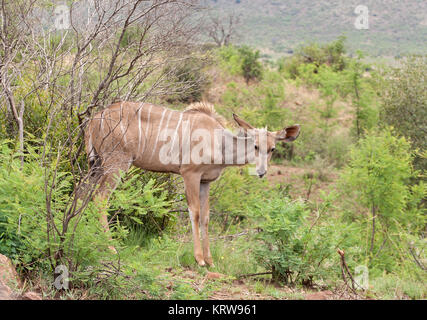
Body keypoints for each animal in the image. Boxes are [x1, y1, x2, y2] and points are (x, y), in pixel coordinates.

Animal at [84, 101, 300, 266]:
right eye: (255, 146)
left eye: (272, 148)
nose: (262, 172)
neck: (218, 142)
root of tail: (94, 120)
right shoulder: (190, 174)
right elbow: (194, 212)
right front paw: (199, 259)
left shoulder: (205, 181)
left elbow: (206, 216)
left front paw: (210, 259)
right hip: (116, 163)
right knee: (101, 197)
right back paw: (110, 247)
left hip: (97, 165)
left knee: (85, 193)